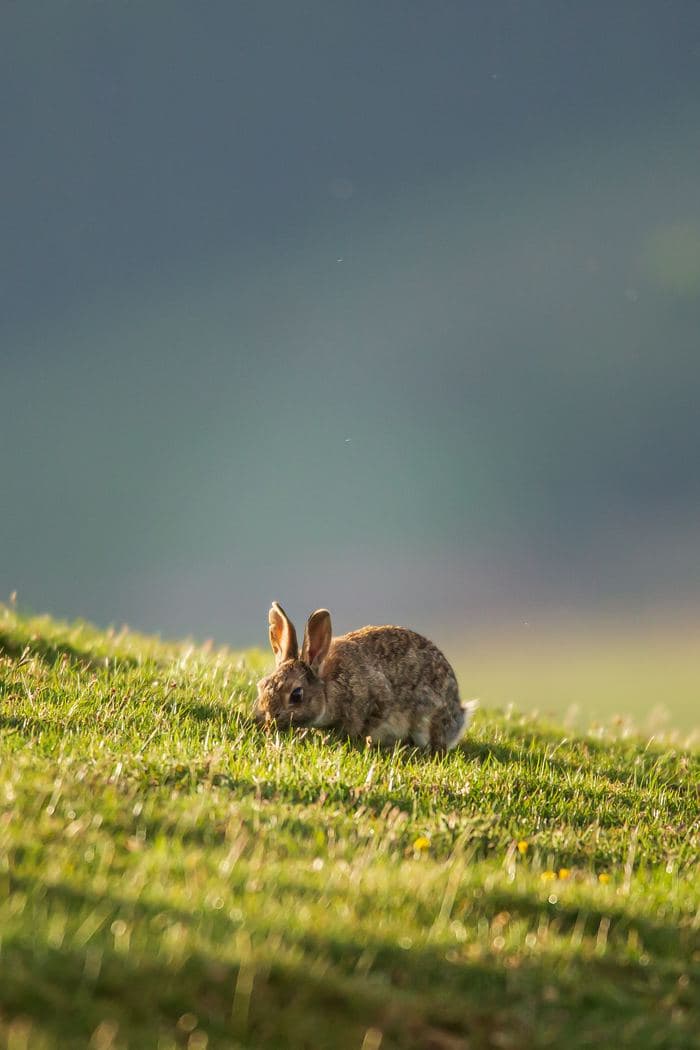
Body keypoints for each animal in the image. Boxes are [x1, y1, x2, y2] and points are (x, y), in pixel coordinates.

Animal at [253, 602, 476, 752]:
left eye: (297, 695)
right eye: (262, 685)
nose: (269, 720)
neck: (329, 687)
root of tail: (458, 714)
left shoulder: (376, 701)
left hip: (427, 719)